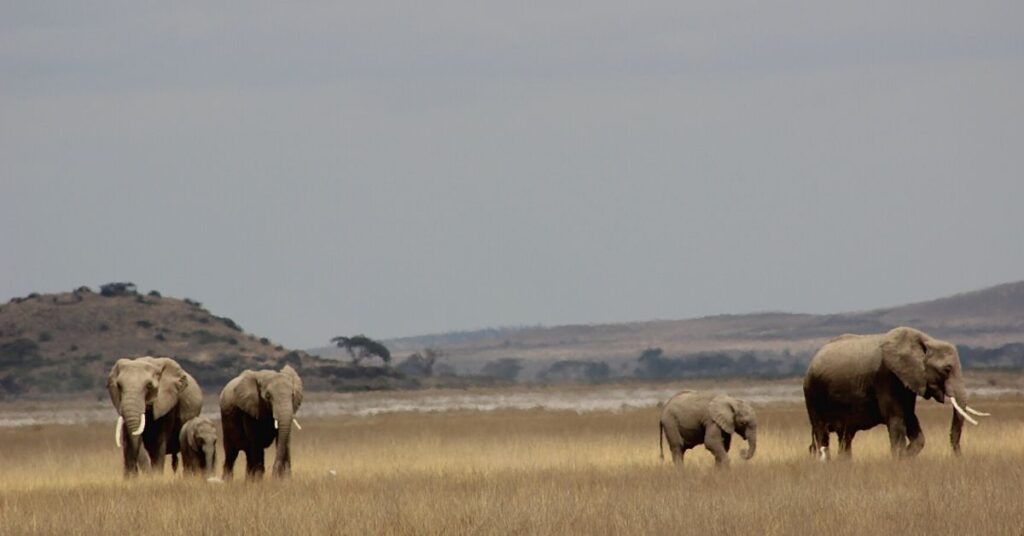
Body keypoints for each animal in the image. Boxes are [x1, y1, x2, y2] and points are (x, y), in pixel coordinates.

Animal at [803, 326, 990, 460]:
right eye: (947, 369)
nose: (959, 456)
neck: (925, 341)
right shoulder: (887, 376)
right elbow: (896, 419)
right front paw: (898, 461)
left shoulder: (908, 381)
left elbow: (910, 417)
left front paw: (904, 458)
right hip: (812, 393)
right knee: (822, 434)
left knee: (845, 437)